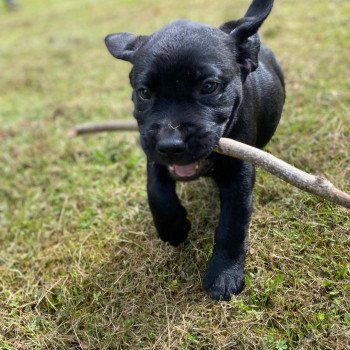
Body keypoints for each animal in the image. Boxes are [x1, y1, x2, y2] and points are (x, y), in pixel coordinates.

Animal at [104, 0, 284, 300]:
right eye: (143, 92)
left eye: (209, 87)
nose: (170, 145)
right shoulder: (153, 153)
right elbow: (156, 190)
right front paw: (173, 227)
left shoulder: (240, 174)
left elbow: (232, 225)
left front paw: (224, 275)